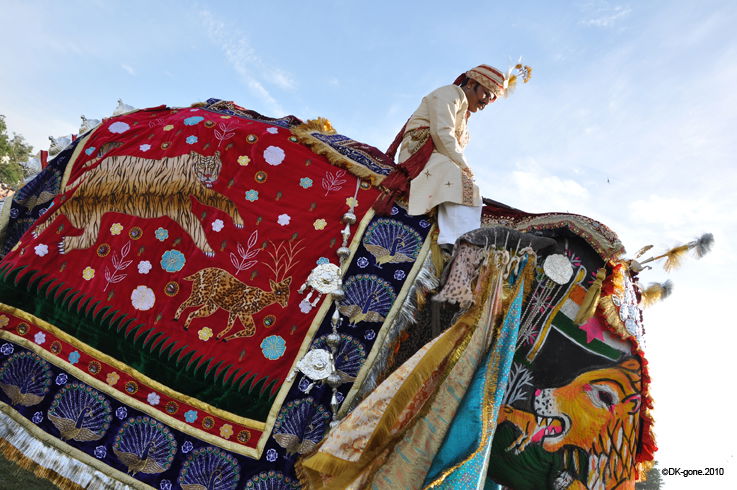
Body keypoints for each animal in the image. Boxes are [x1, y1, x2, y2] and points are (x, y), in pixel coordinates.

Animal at [32, 150, 244, 256]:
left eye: (213, 166)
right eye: (202, 166)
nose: (208, 176)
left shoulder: (182, 209)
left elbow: (206, 218)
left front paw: (210, 247)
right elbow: (212, 212)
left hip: (96, 206)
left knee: (85, 230)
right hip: (91, 189)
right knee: (67, 207)